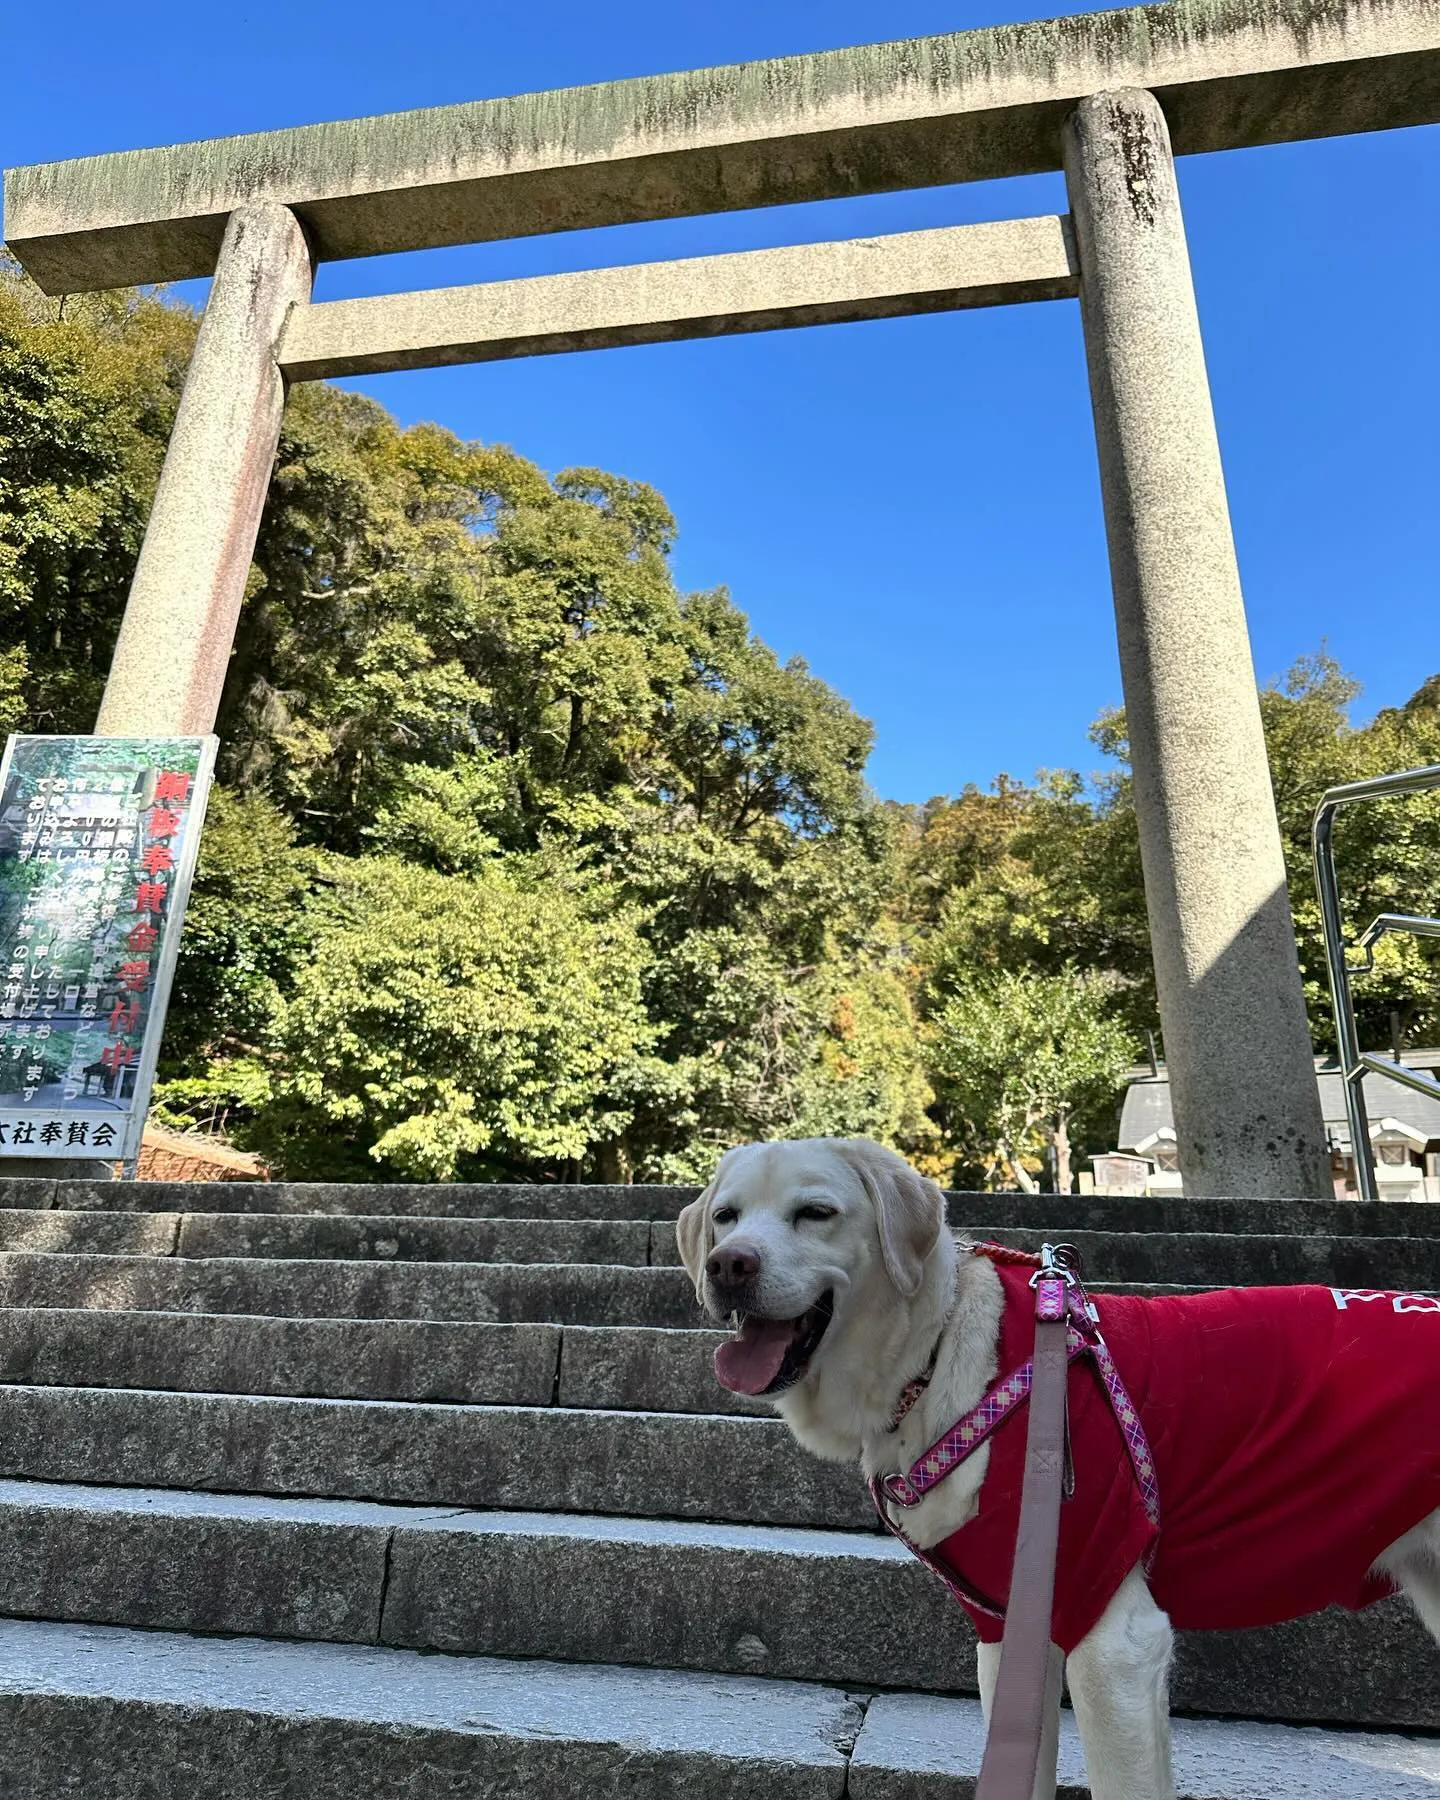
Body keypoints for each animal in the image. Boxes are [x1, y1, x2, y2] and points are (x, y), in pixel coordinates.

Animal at [676, 1137, 1440, 1800]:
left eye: (816, 1213)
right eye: (725, 1217)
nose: (728, 1266)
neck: (935, 1359)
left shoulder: (1113, 1642)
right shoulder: (1012, 1636)